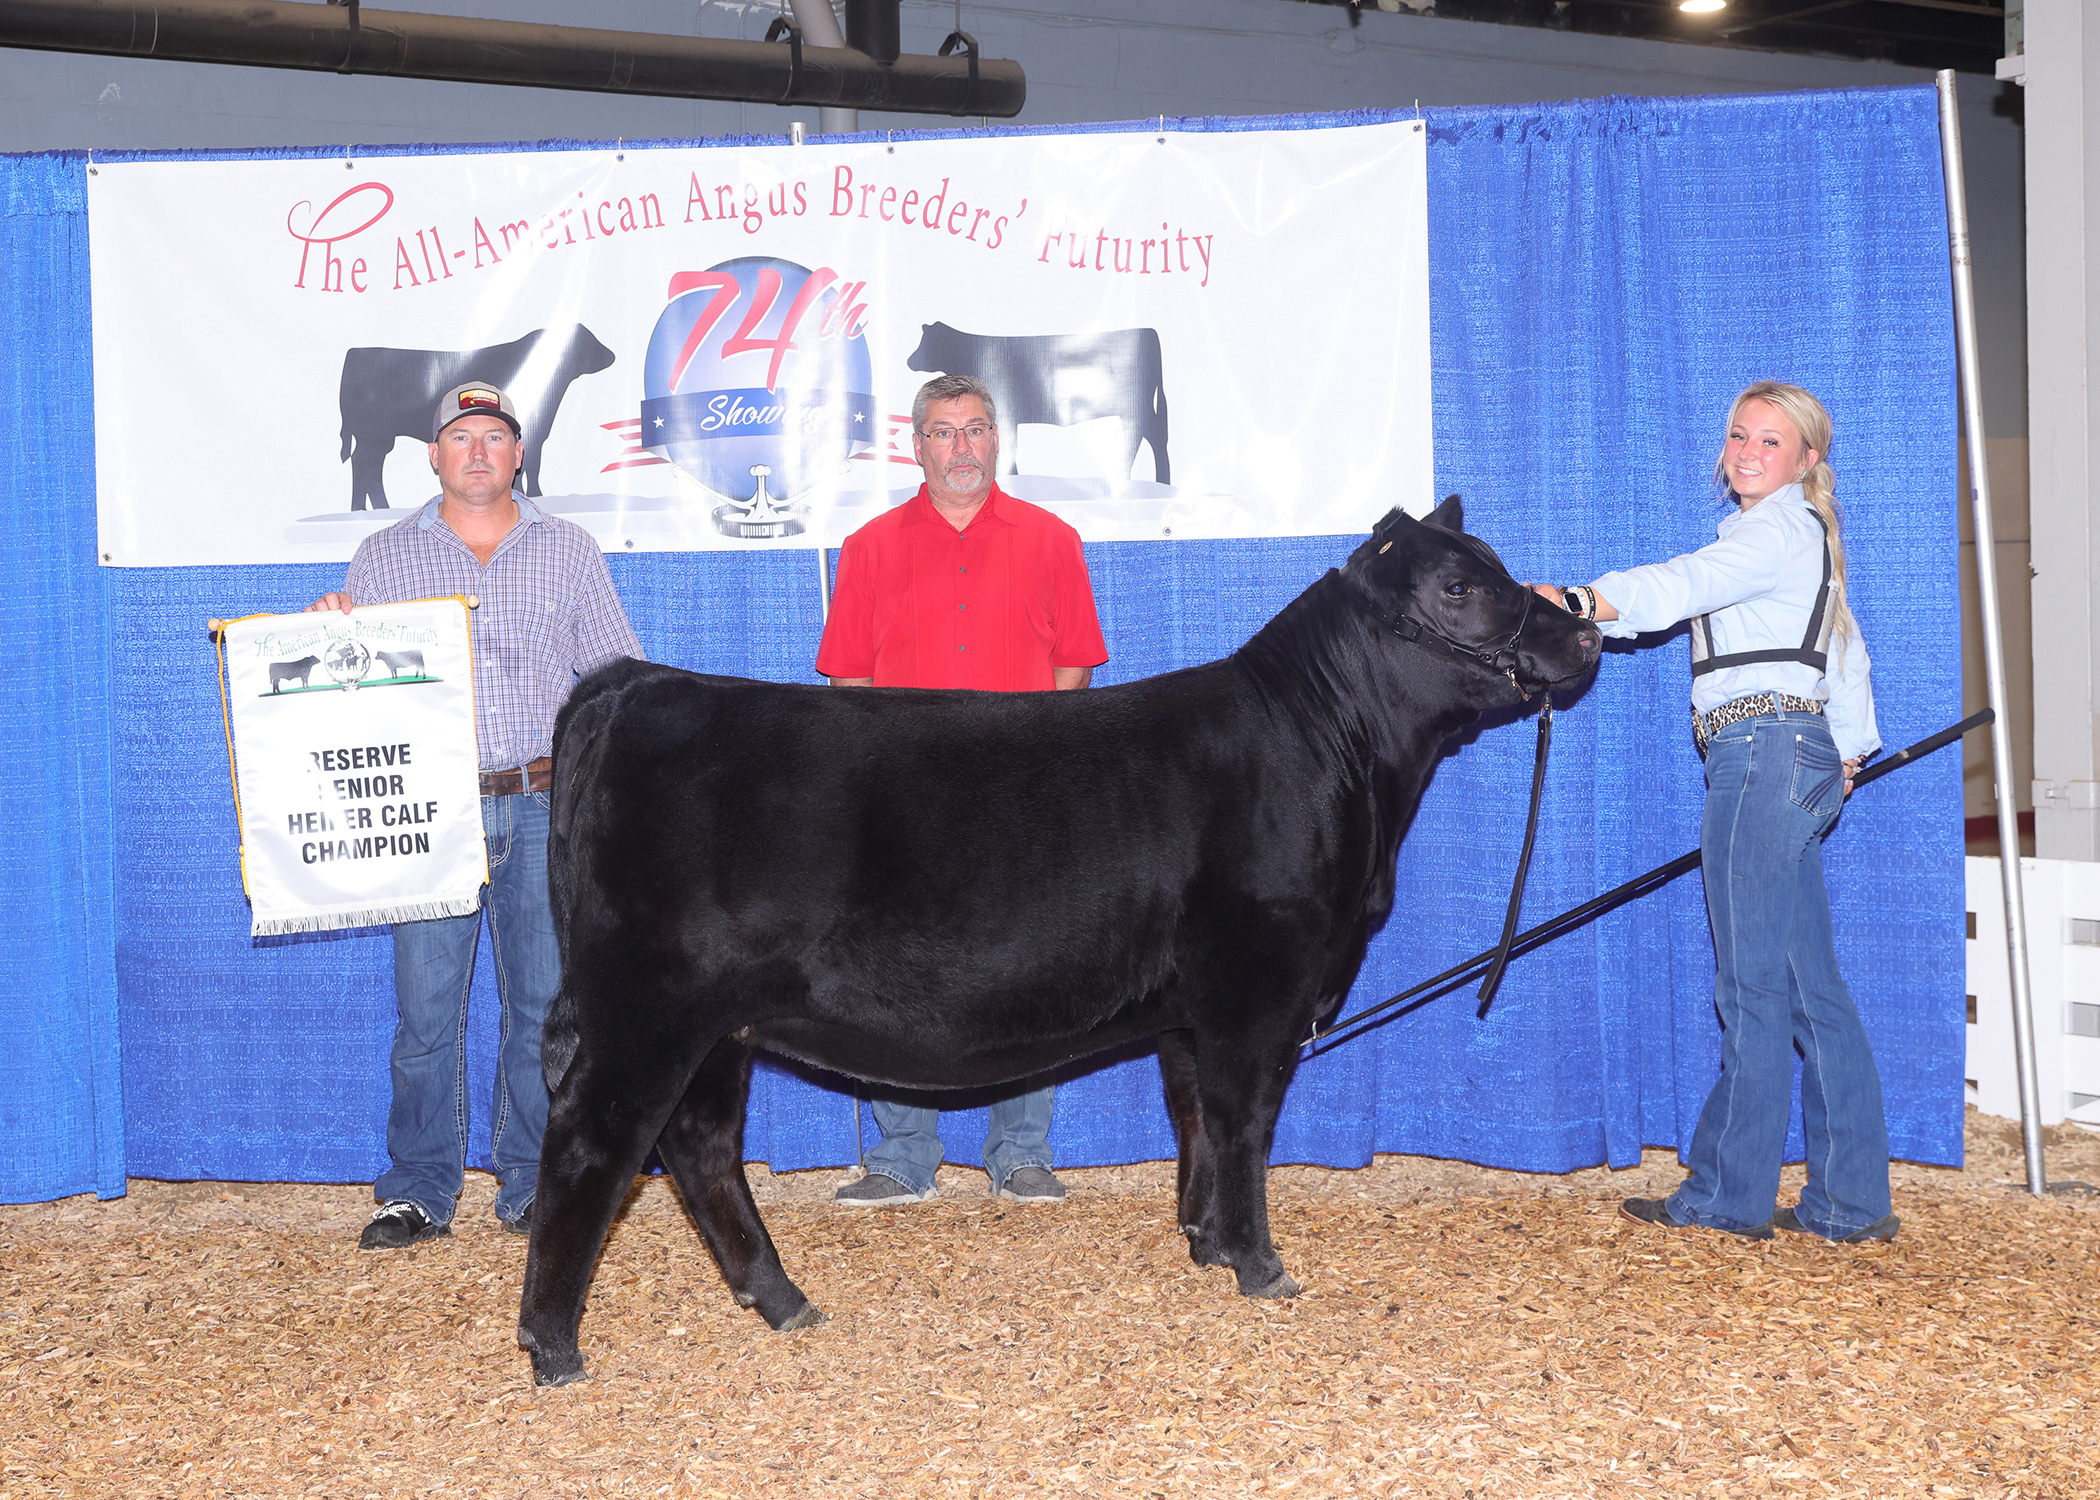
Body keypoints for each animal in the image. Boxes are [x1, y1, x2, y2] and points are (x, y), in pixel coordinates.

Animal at [337, 326, 616, 510]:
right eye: (589, 340)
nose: (612, 355)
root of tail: (355, 353)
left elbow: (531, 467)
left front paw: (534, 495)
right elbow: (530, 467)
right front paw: (533, 495)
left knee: (367, 465)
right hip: (373, 434)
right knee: (365, 465)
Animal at [516, 498, 1600, 1387]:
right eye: (1458, 588)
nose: (1585, 627)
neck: (1326, 751)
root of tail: (636, 684)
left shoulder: (1191, 1008)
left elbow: (1195, 1117)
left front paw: (1205, 1243)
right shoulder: (1258, 986)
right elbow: (1245, 1122)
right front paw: (1261, 1266)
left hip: (717, 1025)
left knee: (700, 1145)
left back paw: (782, 1301)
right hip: (649, 1006)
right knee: (592, 1142)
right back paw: (554, 1346)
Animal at [906, 322, 1170, 484]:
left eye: (926, 341)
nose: (910, 360)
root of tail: (1149, 331)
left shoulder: (1007, 411)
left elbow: (1009, 448)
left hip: (1133, 408)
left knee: (1139, 438)